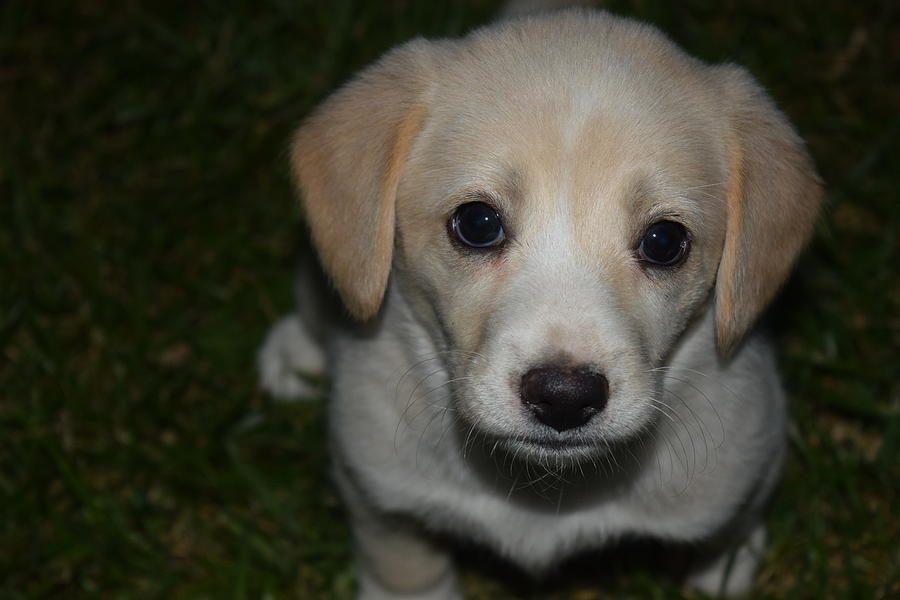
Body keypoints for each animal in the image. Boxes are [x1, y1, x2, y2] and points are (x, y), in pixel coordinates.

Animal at [260, 5, 824, 600]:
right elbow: (405, 562)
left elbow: (729, 525)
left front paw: (722, 568)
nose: (564, 397)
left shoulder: (748, 457)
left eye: (665, 241)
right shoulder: (378, 489)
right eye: (477, 223)